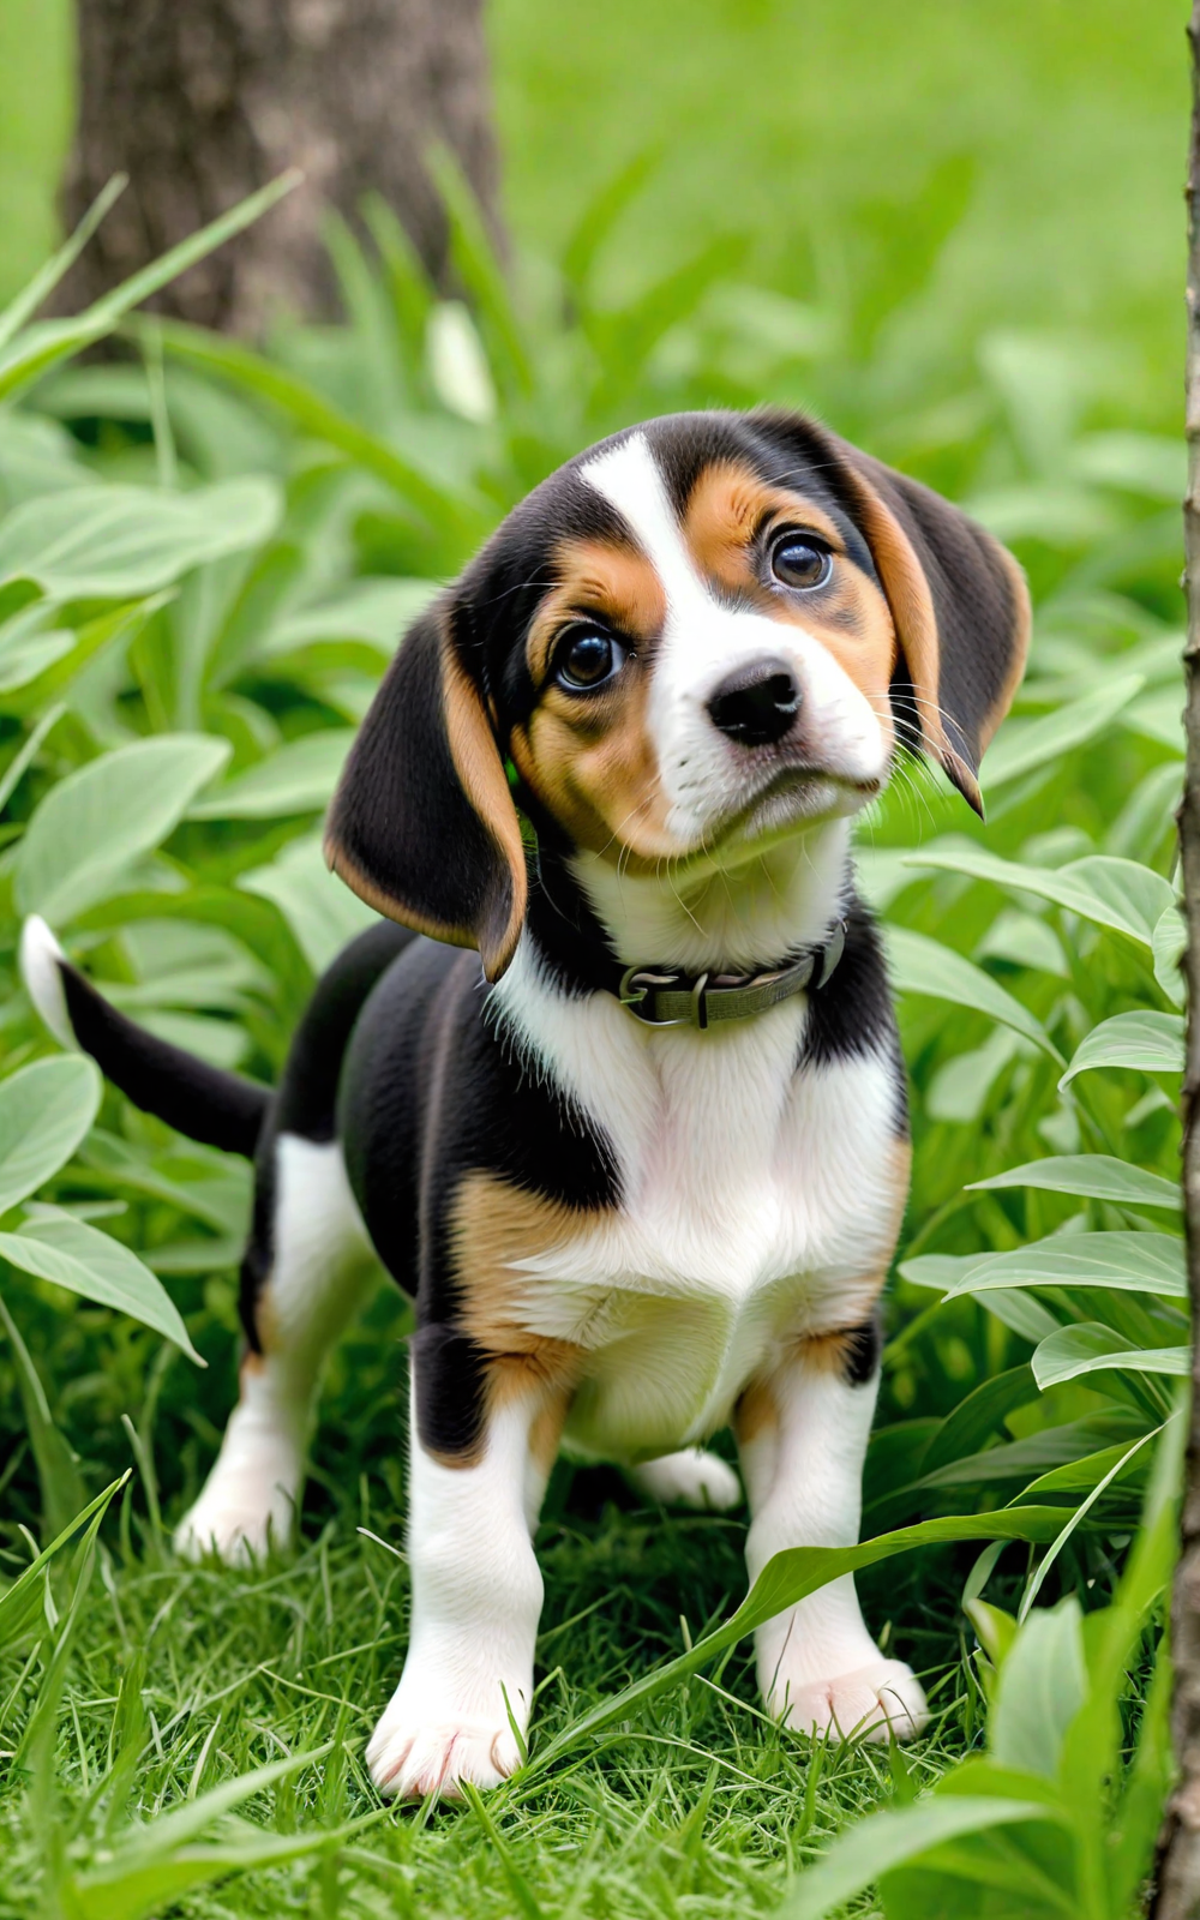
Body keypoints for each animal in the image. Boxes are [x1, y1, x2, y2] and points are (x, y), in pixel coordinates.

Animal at [23, 408, 1021, 1797]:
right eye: (584, 653)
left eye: (798, 556)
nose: (758, 694)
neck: (709, 993)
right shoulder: (472, 1353)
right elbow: (478, 1557)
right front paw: (453, 1722)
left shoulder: (831, 1327)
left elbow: (814, 1530)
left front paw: (825, 1680)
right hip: (304, 1216)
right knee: (273, 1376)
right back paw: (239, 1514)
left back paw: (675, 1464)